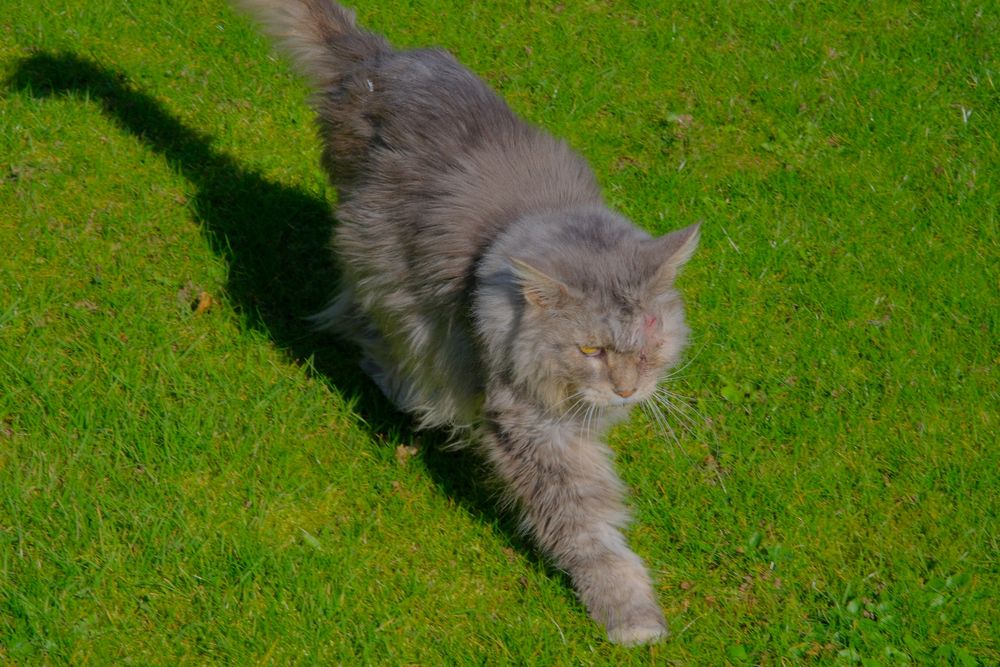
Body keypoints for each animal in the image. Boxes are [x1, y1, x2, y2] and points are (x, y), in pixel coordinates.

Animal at [236, 0, 704, 648]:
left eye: (650, 341)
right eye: (590, 350)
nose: (627, 390)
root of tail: (380, 61)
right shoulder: (530, 427)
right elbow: (586, 524)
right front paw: (630, 616)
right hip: (384, 272)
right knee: (358, 323)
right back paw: (407, 391)